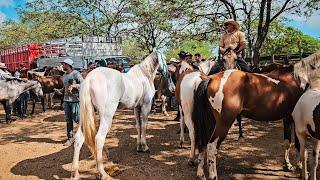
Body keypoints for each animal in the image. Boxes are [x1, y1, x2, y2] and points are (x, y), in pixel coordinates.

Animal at [71, 51, 174, 179]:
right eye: (164, 58)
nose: (167, 72)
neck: (144, 76)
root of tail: (89, 79)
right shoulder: (146, 106)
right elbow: (144, 126)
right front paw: (145, 147)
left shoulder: (136, 108)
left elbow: (138, 126)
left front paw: (139, 146)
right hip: (106, 117)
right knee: (99, 139)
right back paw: (103, 173)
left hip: (85, 115)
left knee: (79, 138)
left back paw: (75, 174)